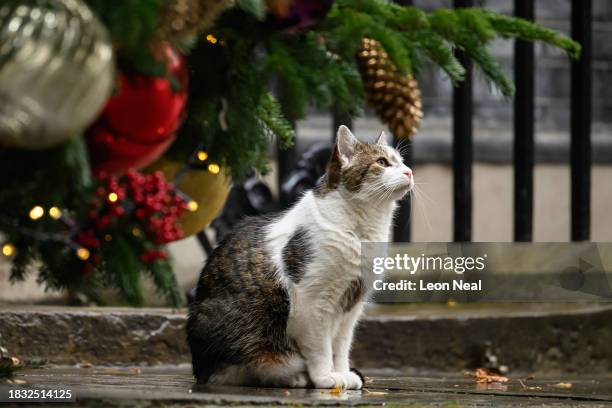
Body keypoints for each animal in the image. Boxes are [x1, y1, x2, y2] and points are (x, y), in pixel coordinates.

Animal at [186, 124, 414, 388]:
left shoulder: (351, 309)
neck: (362, 231)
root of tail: (198, 368)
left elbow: (341, 347)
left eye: (401, 161)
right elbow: (321, 348)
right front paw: (326, 377)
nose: (409, 172)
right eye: (382, 162)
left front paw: (343, 373)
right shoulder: (313, 303)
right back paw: (293, 375)